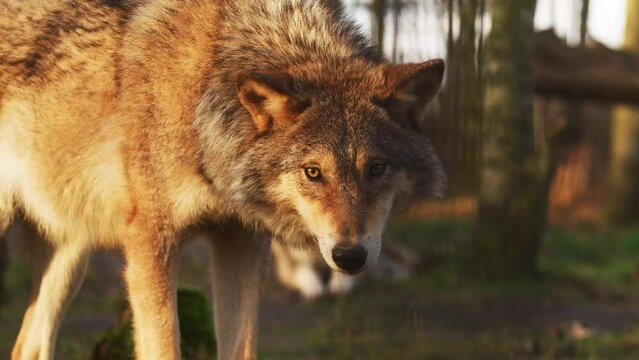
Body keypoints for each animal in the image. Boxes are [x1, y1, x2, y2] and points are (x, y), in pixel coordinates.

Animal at [1, 1, 444, 358]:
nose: (350, 256)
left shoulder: (241, 242)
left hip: (72, 255)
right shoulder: (151, 242)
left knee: (27, 346)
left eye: (376, 168)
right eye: (313, 172)